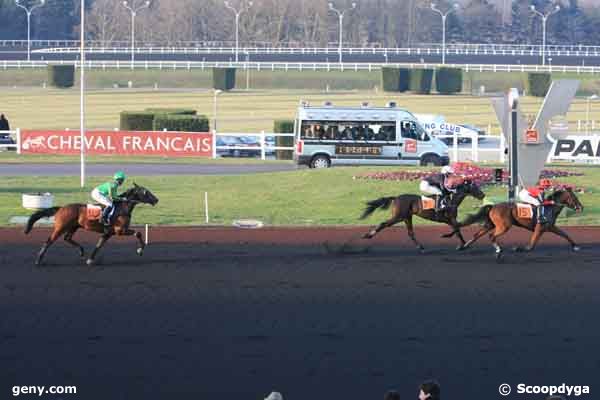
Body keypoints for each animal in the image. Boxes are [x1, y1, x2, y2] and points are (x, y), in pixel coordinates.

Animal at [24, 184, 158, 266]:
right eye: (145, 192)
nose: (156, 200)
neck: (122, 208)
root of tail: (61, 208)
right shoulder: (120, 230)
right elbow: (139, 233)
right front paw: (140, 250)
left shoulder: (108, 233)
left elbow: (99, 245)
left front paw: (90, 259)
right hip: (61, 227)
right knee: (49, 240)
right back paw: (38, 260)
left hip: (74, 227)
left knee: (67, 238)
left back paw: (81, 251)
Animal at [358, 180, 486, 250]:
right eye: (474, 186)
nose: (483, 195)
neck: (452, 200)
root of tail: (396, 197)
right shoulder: (449, 219)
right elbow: (457, 229)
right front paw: (460, 244)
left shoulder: (450, 220)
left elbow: (457, 229)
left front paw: (461, 243)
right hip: (398, 216)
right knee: (383, 224)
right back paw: (368, 235)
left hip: (407, 217)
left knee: (410, 233)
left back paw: (420, 246)